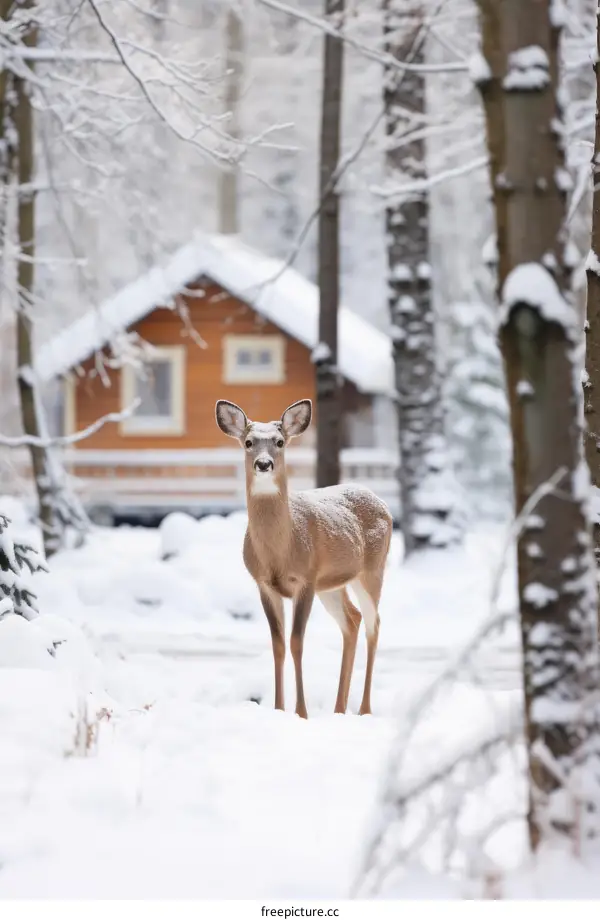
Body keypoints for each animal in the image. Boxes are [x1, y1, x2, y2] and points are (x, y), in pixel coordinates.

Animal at [215, 398, 393, 719]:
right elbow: (278, 644)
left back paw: (364, 709)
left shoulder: (306, 579)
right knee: (352, 620)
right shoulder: (264, 584)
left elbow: (297, 642)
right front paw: (278, 708)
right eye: (248, 442)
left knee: (374, 625)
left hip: (372, 570)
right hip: (332, 585)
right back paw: (338, 709)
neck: (279, 551)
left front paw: (301, 712)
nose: (264, 464)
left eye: (280, 441)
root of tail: (380, 500)